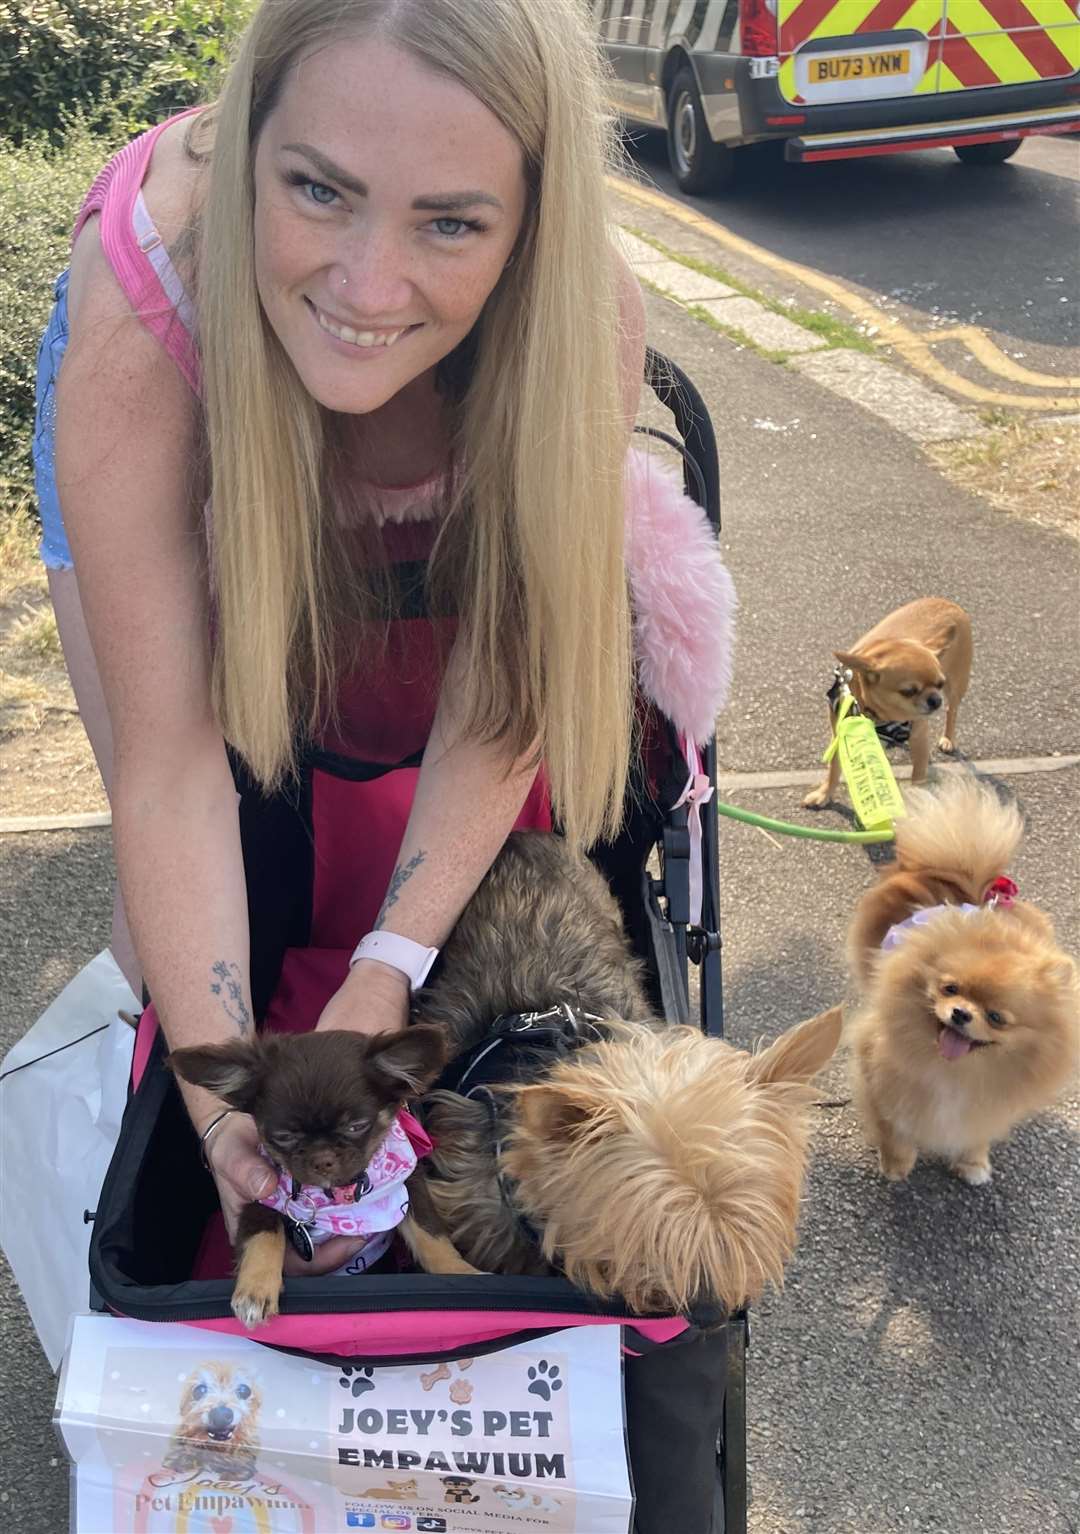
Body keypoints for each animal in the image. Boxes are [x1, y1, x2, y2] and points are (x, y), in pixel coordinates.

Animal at [171, 1018, 475, 1331]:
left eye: (356, 1126)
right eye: (284, 1136)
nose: (322, 1158)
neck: (337, 1196)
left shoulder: (408, 1187)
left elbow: (430, 1233)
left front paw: (460, 1272)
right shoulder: (259, 1198)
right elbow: (263, 1234)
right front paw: (256, 1288)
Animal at [803, 592, 969, 809]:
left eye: (939, 684)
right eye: (909, 691)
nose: (935, 700)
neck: (876, 714)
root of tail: (948, 603)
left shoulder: (919, 736)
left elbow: (918, 774)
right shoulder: (840, 735)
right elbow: (834, 770)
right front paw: (823, 794)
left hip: (956, 686)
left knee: (953, 710)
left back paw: (948, 738)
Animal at [846, 779, 1073, 1184]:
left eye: (997, 1017)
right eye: (949, 988)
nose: (961, 1014)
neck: (957, 1072)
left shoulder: (987, 1103)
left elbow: (974, 1130)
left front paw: (973, 1162)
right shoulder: (879, 1068)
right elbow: (892, 1123)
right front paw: (896, 1162)